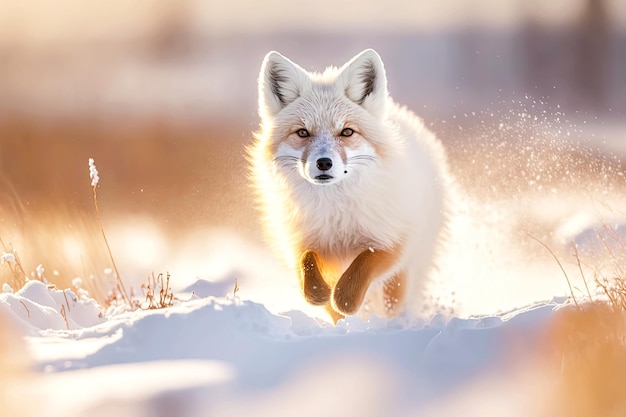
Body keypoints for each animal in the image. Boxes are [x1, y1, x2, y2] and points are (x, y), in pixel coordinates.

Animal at [247, 48, 448, 322]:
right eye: (302, 132)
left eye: (347, 132)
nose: (323, 163)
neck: (336, 214)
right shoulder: (302, 241)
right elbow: (307, 263)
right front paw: (318, 292)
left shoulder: (395, 240)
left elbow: (364, 262)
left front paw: (346, 298)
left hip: (407, 268)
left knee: (394, 301)